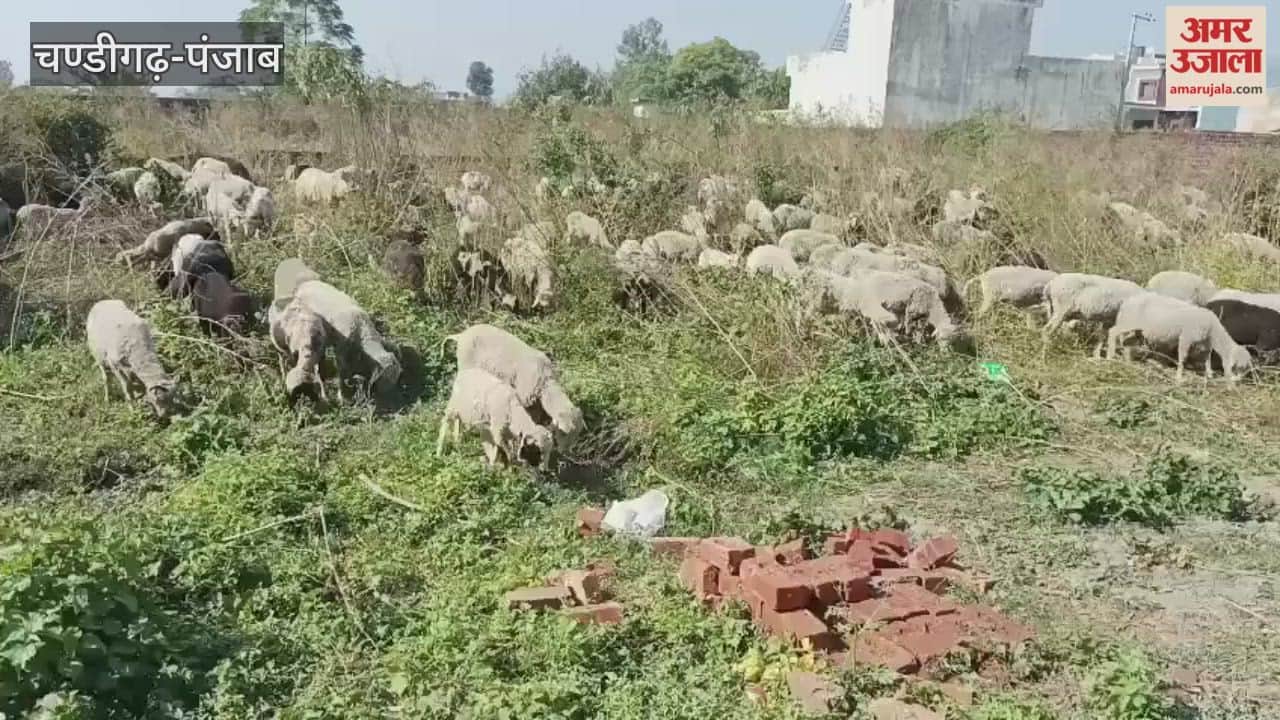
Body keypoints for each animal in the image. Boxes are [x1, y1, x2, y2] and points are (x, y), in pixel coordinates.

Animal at [443, 323, 584, 444]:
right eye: (564, 433)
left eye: (577, 434)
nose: (566, 451)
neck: (545, 384)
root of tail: (461, 335)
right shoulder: (523, 396)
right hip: (466, 366)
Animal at [1108, 292, 1252, 381]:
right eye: (1238, 367)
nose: (1237, 381)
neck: (1213, 330)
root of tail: (1127, 301)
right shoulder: (1186, 337)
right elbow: (1183, 357)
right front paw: (1179, 377)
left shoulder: (1205, 343)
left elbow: (1207, 357)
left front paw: (1209, 373)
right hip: (1127, 322)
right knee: (1112, 332)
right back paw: (1109, 357)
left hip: (1135, 328)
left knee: (1126, 342)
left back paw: (1127, 361)